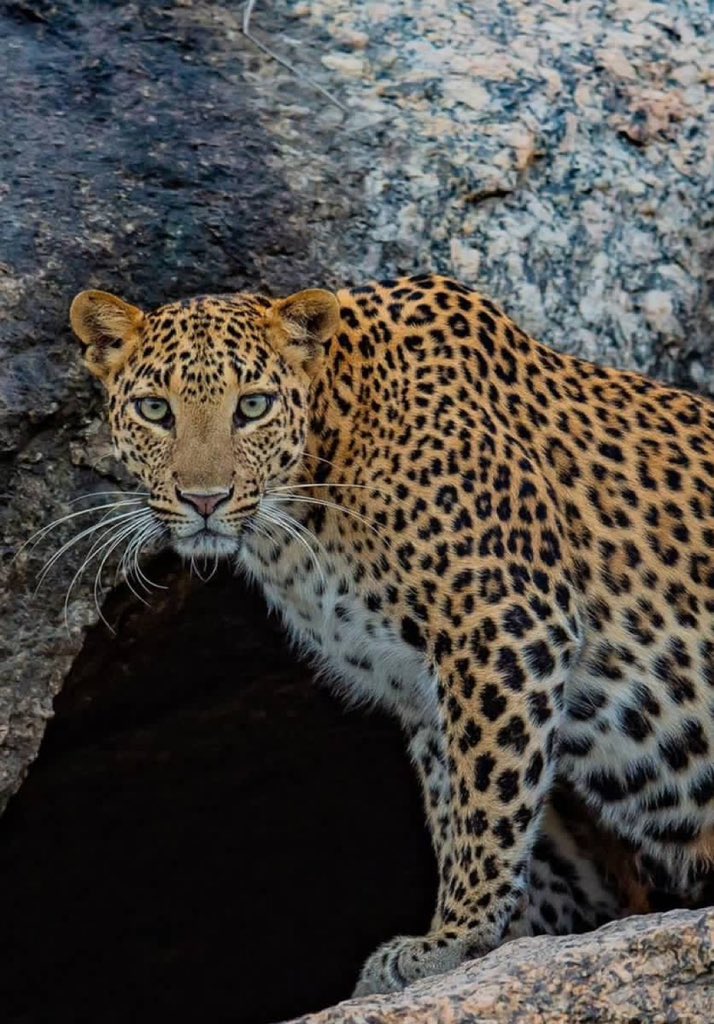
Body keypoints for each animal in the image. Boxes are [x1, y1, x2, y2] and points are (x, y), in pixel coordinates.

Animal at [68, 276, 712, 995]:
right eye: (155, 410)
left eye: (253, 407)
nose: (205, 500)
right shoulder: (419, 683)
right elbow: (453, 800)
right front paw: (489, 934)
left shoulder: (505, 622)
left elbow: (489, 798)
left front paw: (456, 935)